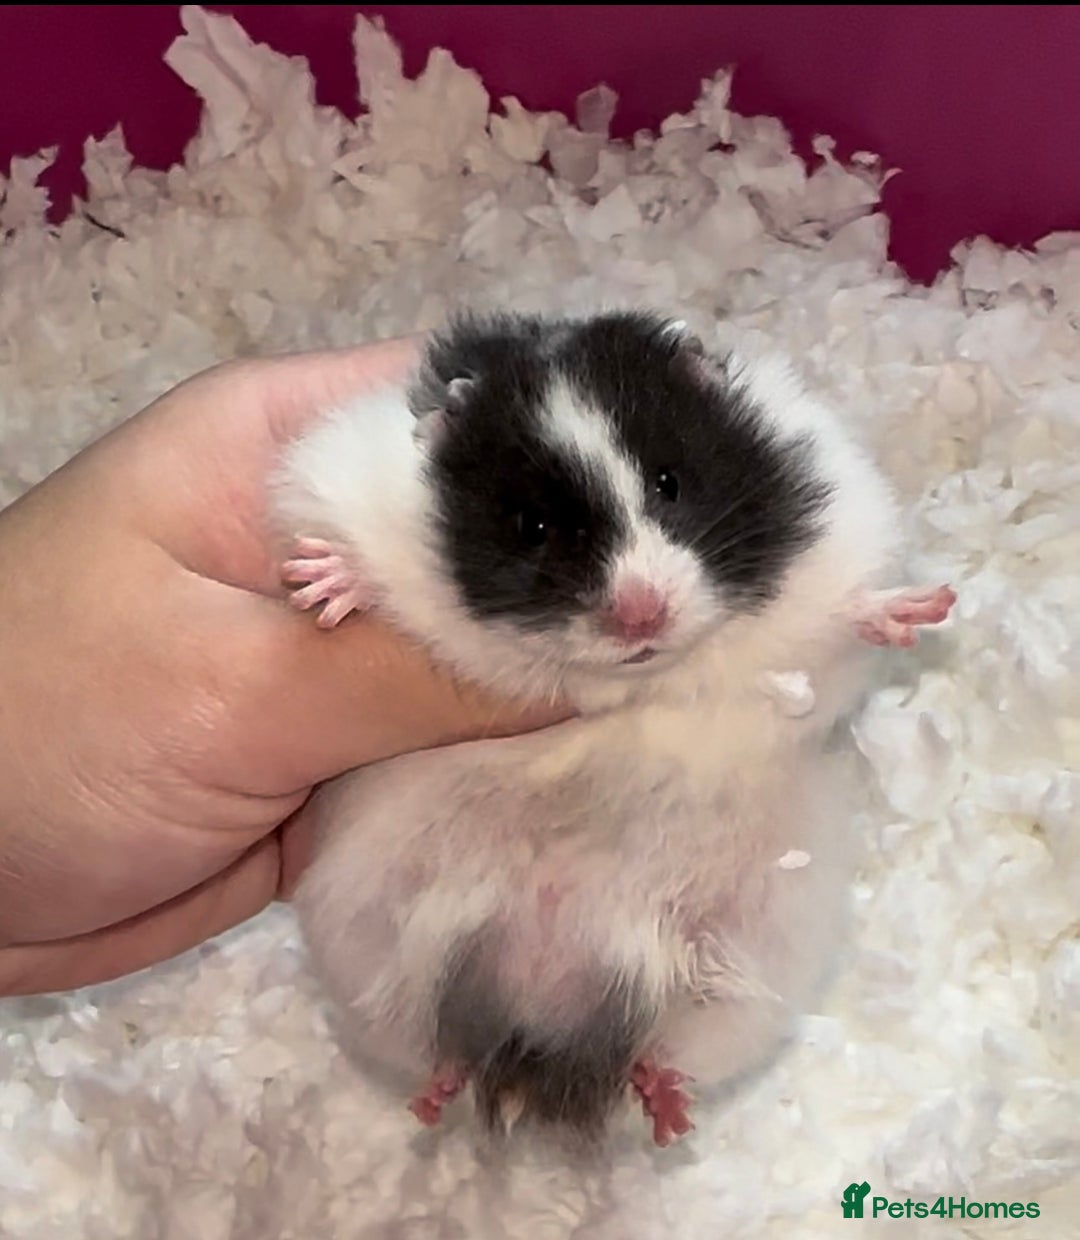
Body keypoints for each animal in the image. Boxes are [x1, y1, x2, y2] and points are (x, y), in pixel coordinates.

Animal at [271, 310, 955, 1146]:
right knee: (434, 1035)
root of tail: (545, 1023)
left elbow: (841, 623)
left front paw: (926, 609)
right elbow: (366, 568)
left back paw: (667, 1110)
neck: (632, 680)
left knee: (661, 1043)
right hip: (365, 937)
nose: (641, 614)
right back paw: (436, 1101)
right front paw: (321, 586)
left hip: (753, 951)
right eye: (532, 525)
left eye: (669, 483)